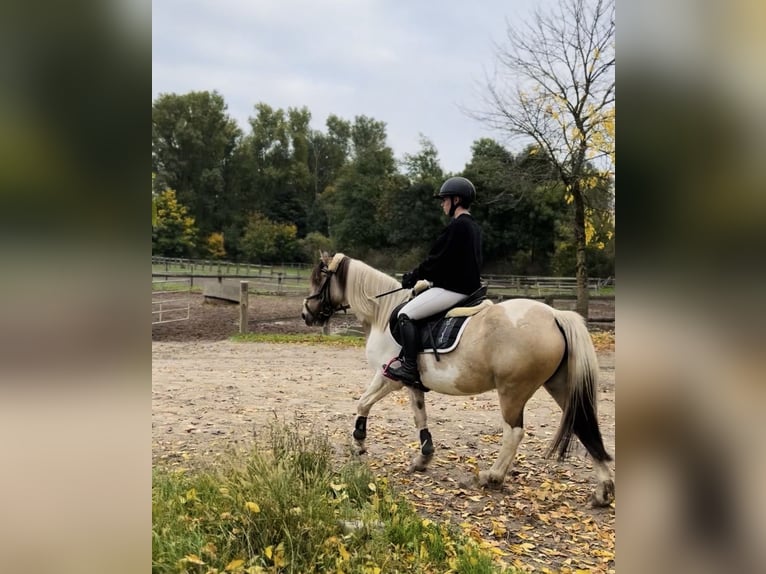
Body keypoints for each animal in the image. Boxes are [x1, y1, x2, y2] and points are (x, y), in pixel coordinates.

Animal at [301, 252, 614, 506]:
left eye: (319, 279)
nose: (306, 314)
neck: (383, 313)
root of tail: (554, 315)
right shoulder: (412, 382)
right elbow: (419, 416)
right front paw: (423, 457)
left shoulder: (388, 376)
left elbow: (363, 403)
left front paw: (359, 443)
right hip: (560, 386)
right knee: (583, 426)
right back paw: (603, 491)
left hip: (512, 391)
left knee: (514, 432)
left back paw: (492, 476)